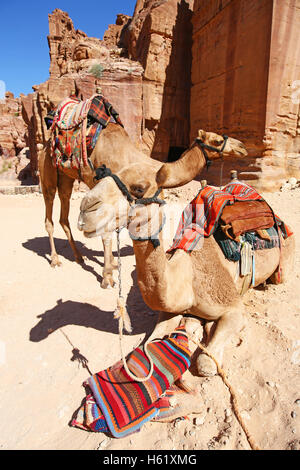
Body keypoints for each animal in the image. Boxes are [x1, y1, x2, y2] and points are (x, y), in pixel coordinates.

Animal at [39, 120, 162, 290]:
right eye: (140, 189)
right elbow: (105, 232)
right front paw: (108, 278)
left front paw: (113, 264)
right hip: (47, 174)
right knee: (49, 213)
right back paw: (55, 260)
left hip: (65, 179)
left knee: (63, 214)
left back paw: (79, 257)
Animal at [77, 126, 296, 376]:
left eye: (139, 188)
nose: (86, 208)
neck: (186, 278)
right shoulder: (168, 310)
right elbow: (148, 345)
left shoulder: (233, 307)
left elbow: (206, 363)